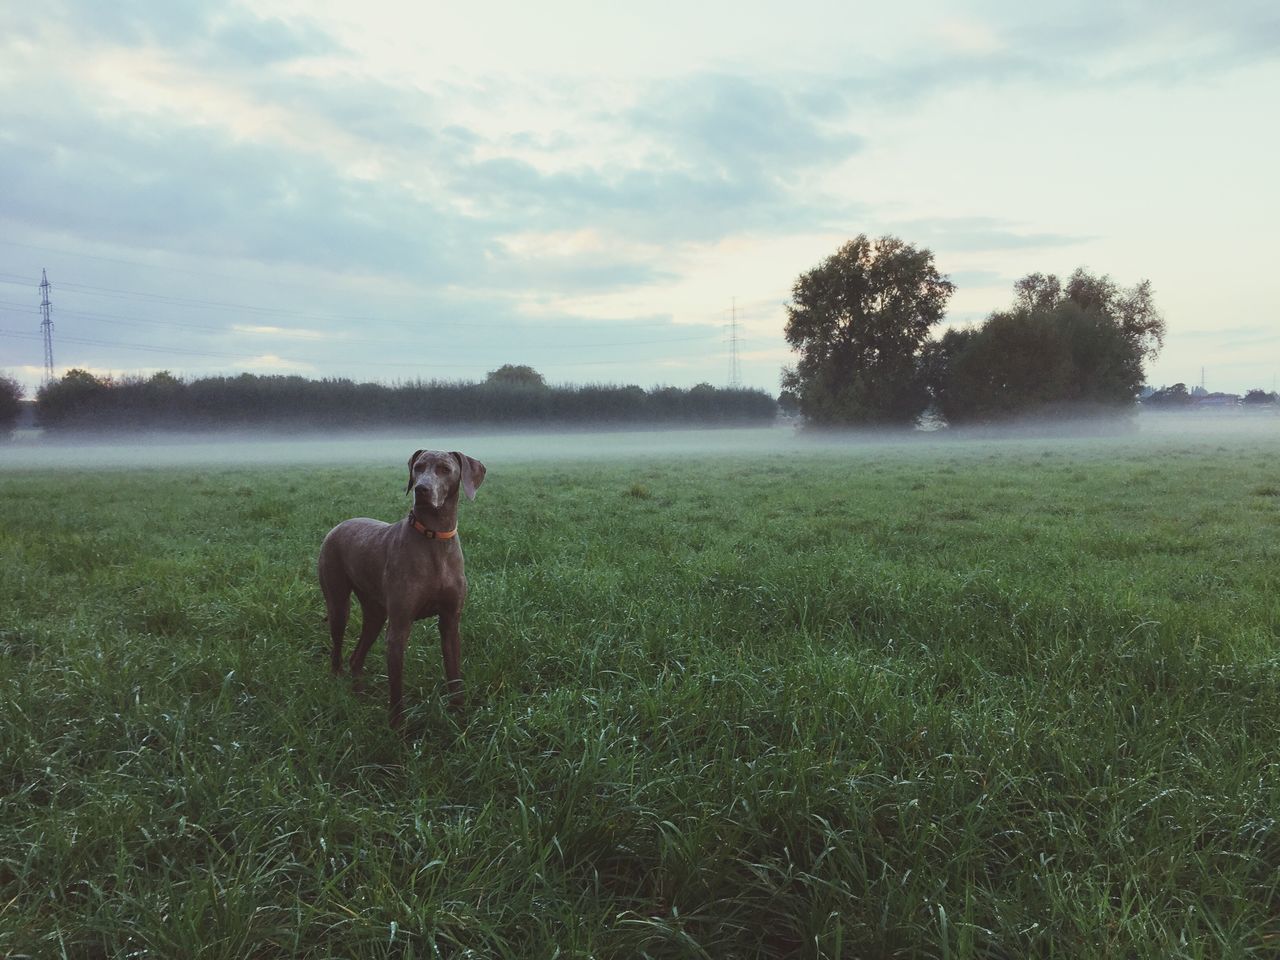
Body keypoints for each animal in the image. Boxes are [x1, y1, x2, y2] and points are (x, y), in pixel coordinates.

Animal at [316, 450, 483, 727]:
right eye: (418, 467)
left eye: (445, 469)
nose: (421, 489)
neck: (434, 537)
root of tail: (339, 525)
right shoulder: (398, 628)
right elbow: (396, 689)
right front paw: (398, 729)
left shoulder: (450, 622)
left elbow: (454, 675)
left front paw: (459, 716)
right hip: (338, 603)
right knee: (337, 650)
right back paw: (338, 685)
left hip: (375, 613)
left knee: (356, 658)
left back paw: (358, 693)